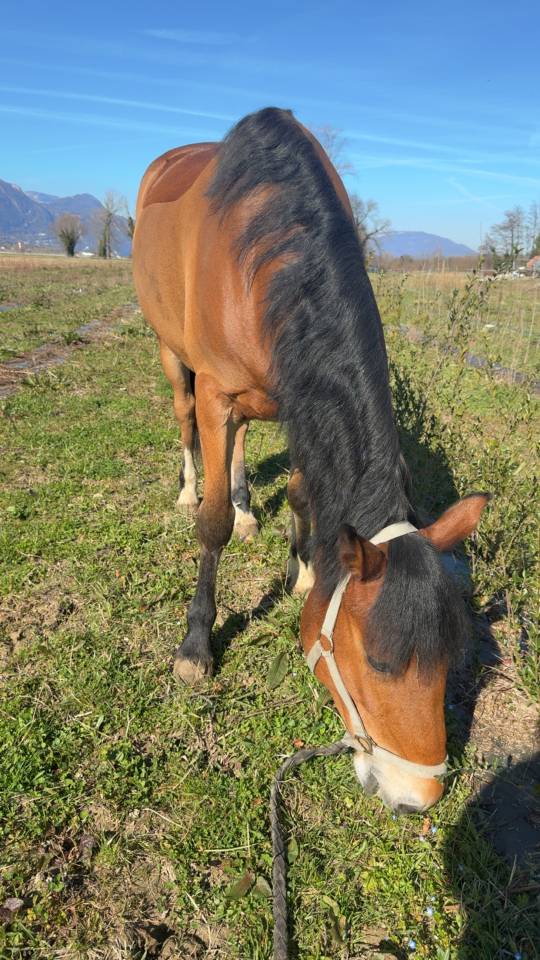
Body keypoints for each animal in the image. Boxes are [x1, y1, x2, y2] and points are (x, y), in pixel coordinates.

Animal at [133, 107, 489, 813]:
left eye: (448, 661)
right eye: (377, 663)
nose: (419, 797)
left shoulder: (300, 393)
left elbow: (301, 492)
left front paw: (300, 569)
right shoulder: (216, 393)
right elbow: (211, 523)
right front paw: (196, 645)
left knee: (242, 448)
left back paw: (251, 510)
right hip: (172, 354)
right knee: (185, 423)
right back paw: (189, 488)